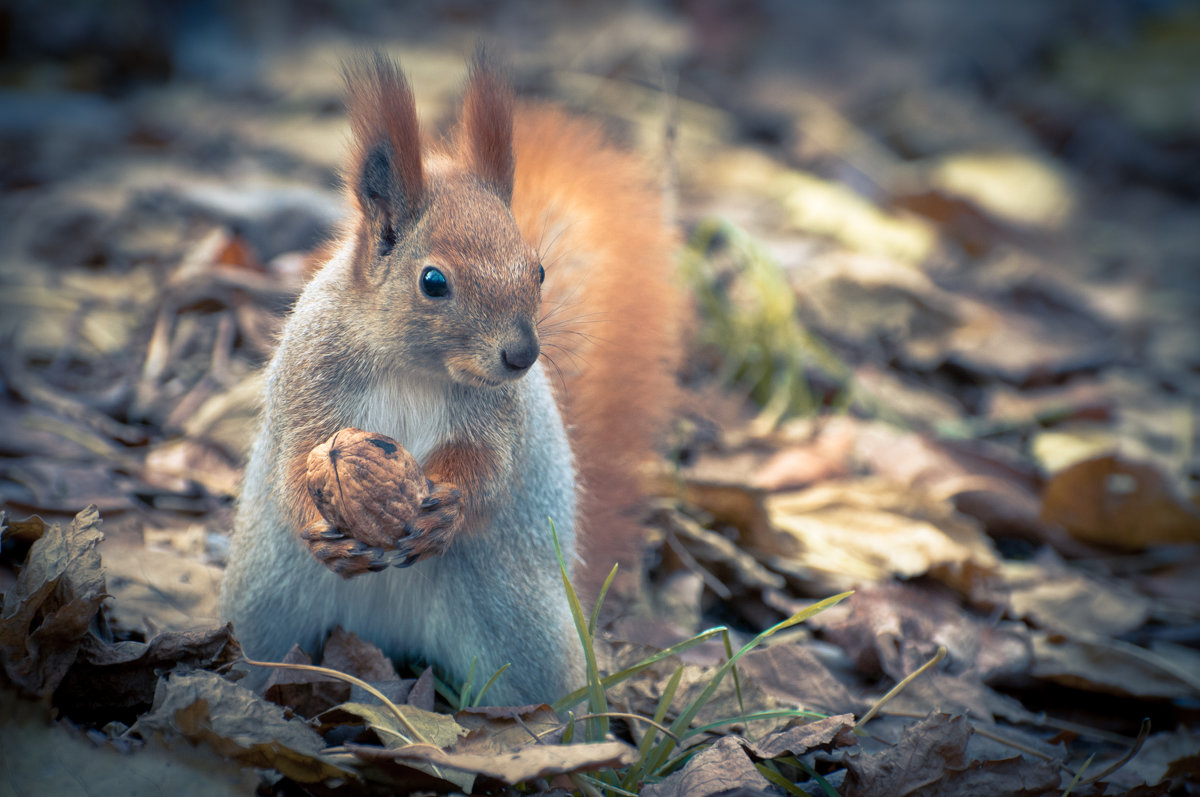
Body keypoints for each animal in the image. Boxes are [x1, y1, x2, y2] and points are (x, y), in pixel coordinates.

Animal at [220, 52, 681, 705]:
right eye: (433, 281)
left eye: (539, 270)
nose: (522, 355)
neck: (413, 367)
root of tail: (385, 632)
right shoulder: (309, 377)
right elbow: (296, 456)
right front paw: (314, 517)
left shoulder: (499, 417)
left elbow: (489, 467)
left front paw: (449, 508)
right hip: (267, 604)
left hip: (518, 626)